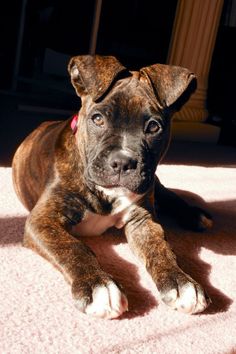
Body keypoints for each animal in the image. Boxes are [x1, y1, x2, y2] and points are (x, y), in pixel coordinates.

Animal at [12, 54, 212, 318]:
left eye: (154, 127)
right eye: (98, 119)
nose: (122, 162)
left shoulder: (142, 219)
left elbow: (160, 248)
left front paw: (181, 282)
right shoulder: (44, 220)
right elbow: (74, 247)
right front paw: (98, 285)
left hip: (154, 184)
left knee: (170, 197)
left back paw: (197, 216)